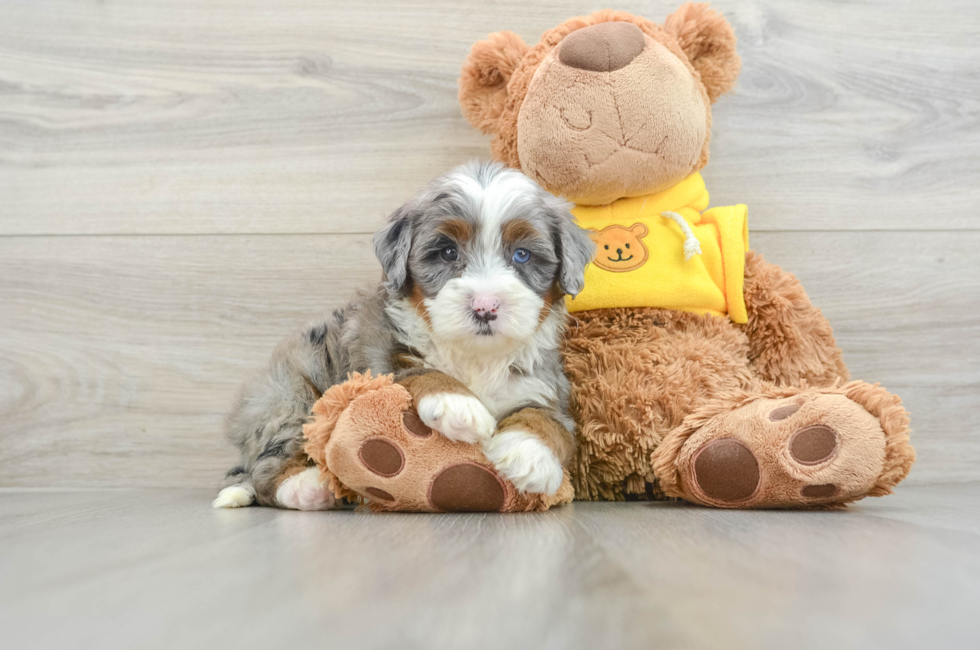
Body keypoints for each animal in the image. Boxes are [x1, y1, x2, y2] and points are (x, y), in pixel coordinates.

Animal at [214, 161, 592, 506]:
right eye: (448, 252)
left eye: (522, 255)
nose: (485, 306)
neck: (475, 357)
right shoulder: (377, 360)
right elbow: (419, 371)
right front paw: (458, 404)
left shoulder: (545, 384)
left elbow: (552, 422)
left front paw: (529, 455)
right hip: (288, 398)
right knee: (271, 463)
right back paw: (306, 488)